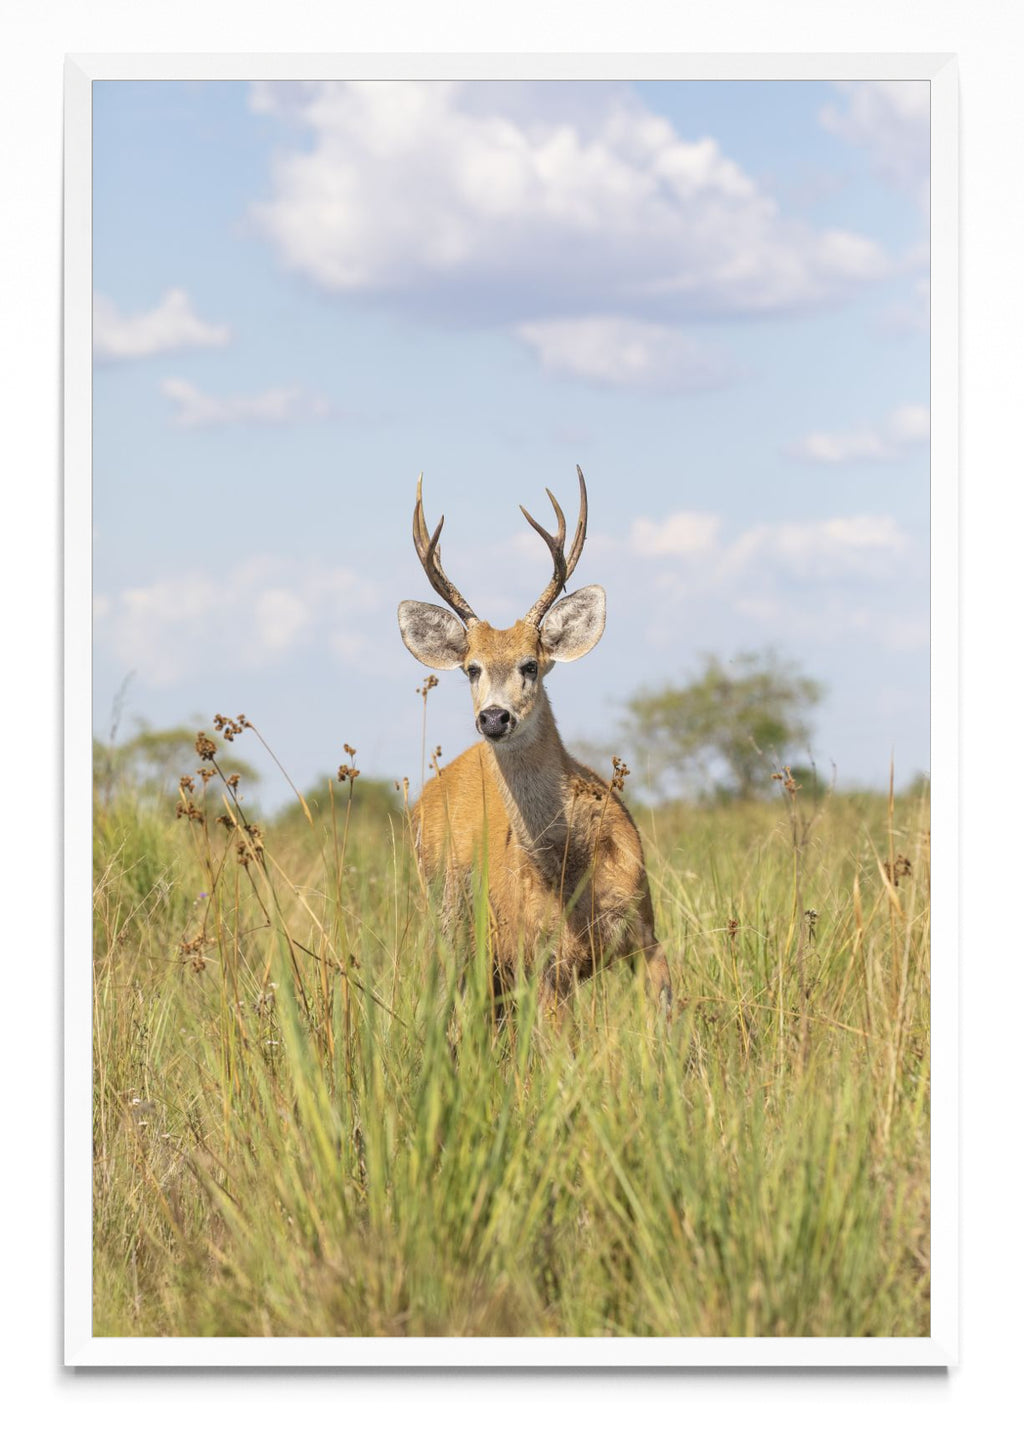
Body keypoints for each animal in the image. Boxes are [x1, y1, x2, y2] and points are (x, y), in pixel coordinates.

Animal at [397, 466, 672, 1022]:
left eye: (530, 664)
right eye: (471, 668)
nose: (494, 717)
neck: (571, 868)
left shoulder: (645, 930)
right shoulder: (541, 961)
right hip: (447, 925)